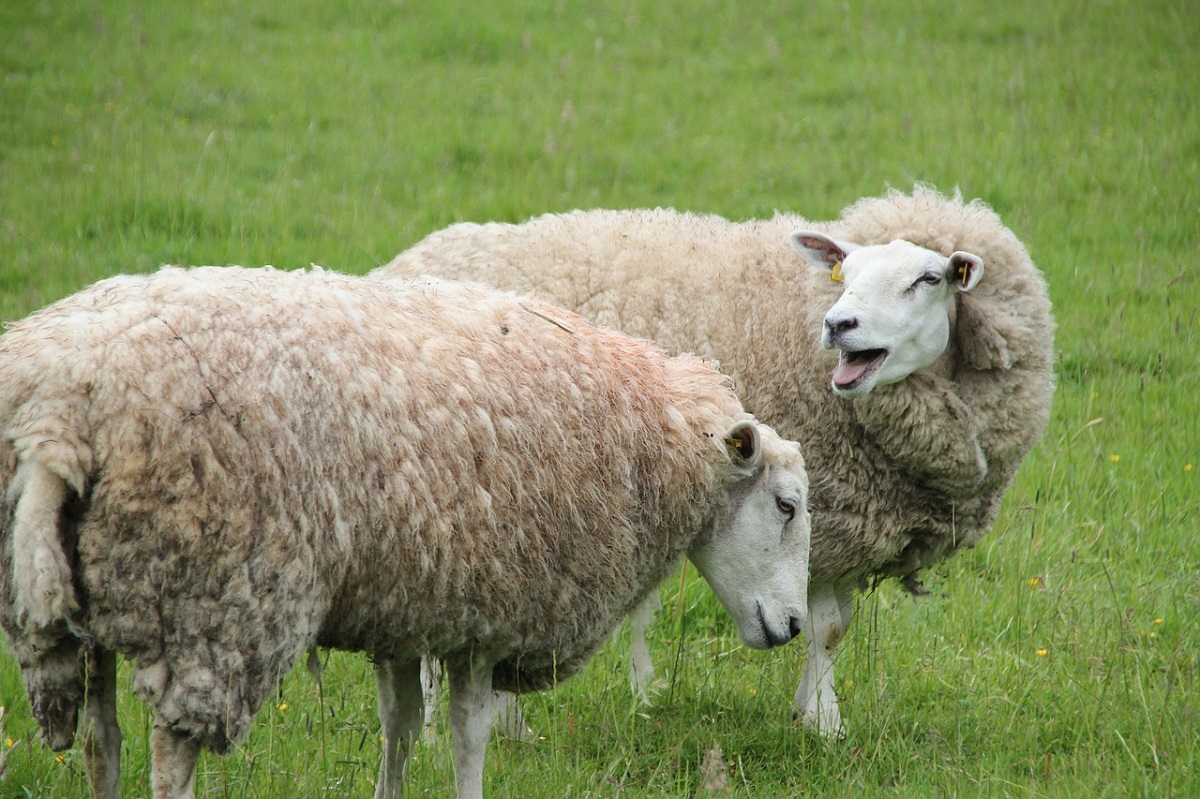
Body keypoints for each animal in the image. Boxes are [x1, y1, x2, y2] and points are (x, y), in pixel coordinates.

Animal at [0, 266, 811, 796]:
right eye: (787, 505)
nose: (796, 625)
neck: (649, 440)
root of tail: (57, 420)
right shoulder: (489, 610)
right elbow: (467, 732)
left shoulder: (407, 599)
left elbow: (400, 725)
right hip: (215, 602)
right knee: (171, 755)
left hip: (87, 604)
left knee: (100, 742)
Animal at [376, 183, 1060, 739]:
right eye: (847, 276)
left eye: (929, 279)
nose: (839, 323)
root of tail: (406, 262)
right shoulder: (831, 512)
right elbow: (823, 626)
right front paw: (823, 722)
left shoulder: (847, 523)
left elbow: (831, 627)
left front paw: (815, 717)